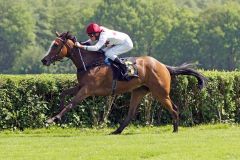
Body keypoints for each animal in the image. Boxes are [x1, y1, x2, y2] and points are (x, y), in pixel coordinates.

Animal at [41, 31, 206, 134]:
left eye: (55, 45)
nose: (44, 60)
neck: (89, 63)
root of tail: (163, 66)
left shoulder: (87, 90)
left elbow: (71, 103)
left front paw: (52, 119)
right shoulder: (81, 86)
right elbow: (63, 94)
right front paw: (58, 116)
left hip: (160, 92)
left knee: (174, 109)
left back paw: (175, 130)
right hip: (139, 91)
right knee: (131, 113)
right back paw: (116, 131)